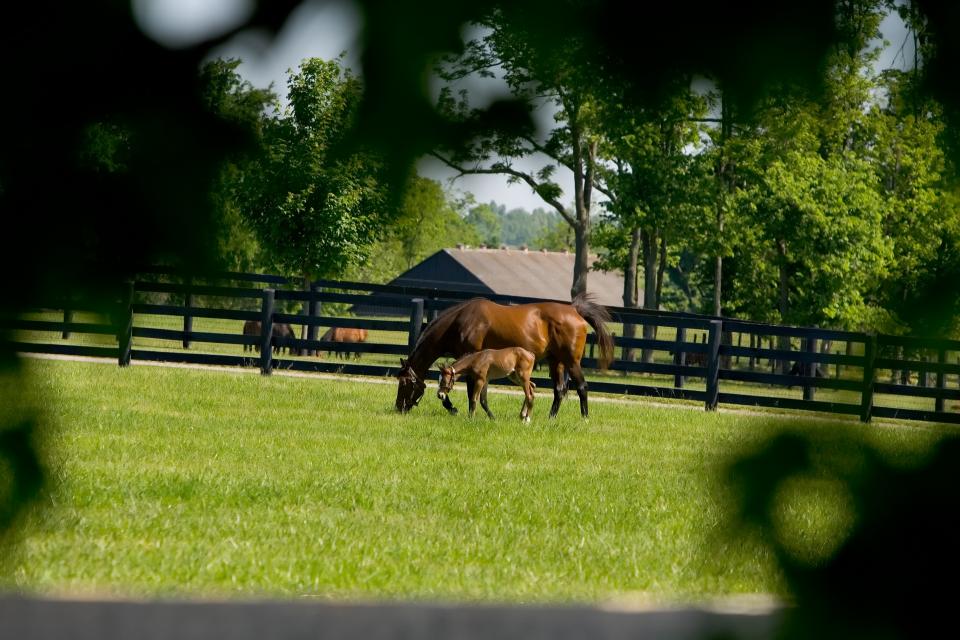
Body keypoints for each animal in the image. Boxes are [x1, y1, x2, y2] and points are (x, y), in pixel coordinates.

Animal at [394, 292, 612, 418]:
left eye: (405, 383)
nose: (398, 408)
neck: (460, 322)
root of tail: (575, 310)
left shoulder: (472, 359)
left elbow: (470, 391)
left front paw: (457, 409)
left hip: (571, 361)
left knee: (582, 387)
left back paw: (584, 418)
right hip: (556, 361)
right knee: (559, 390)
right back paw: (550, 418)